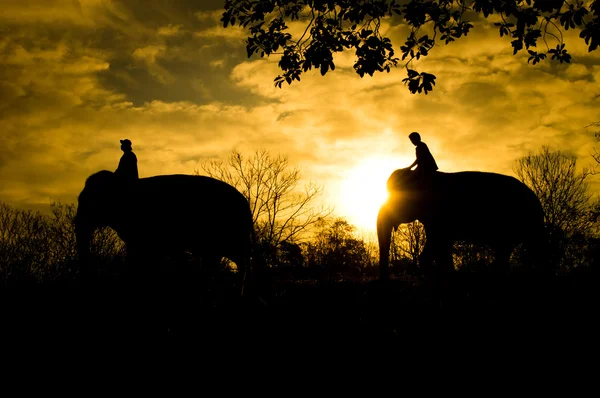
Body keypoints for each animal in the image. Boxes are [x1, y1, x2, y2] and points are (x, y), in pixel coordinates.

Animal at [378, 168, 548, 280]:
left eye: (396, 196)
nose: (387, 279)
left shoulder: (441, 216)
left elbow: (438, 245)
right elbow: (438, 247)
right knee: (507, 251)